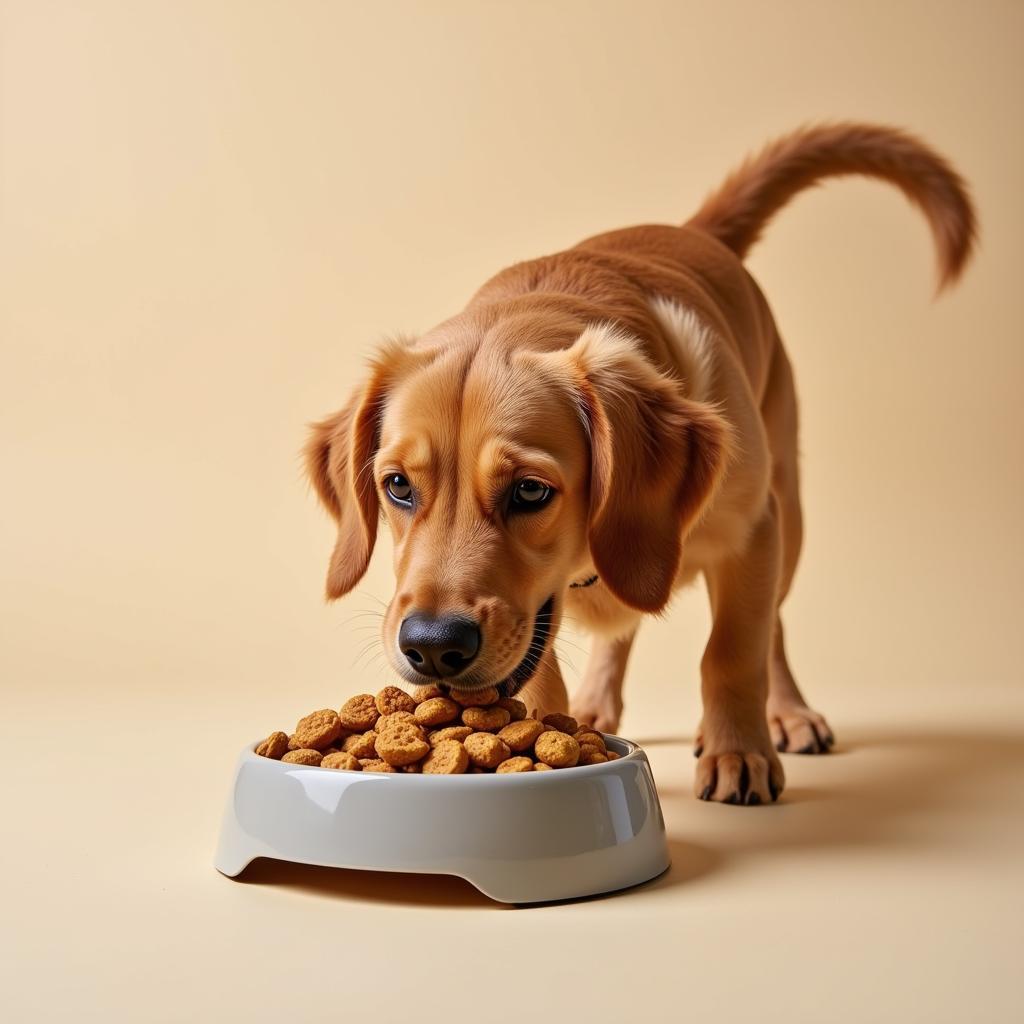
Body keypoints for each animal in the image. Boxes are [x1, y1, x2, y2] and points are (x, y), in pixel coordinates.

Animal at [305, 123, 974, 802]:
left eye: (529, 491)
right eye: (396, 486)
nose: (433, 648)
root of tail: (696, 231)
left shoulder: (751, 534)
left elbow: (734, 651)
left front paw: (739, 751)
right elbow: (547, 676)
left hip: (788, 514)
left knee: (774, 628)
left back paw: (787, 713)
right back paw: (597, 701)